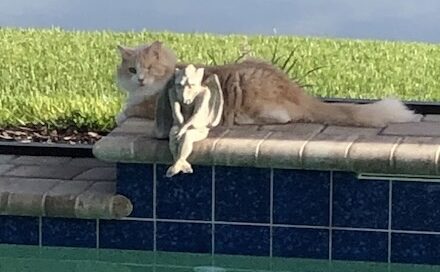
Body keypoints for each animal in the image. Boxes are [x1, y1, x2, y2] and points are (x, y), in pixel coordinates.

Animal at [115, 40, 422, 137]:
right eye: (132, 70)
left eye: (149, 68)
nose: (140, 79)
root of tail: (299, 92)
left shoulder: (147, 104)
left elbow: (128, 110)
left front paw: (121, 113)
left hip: (247, 87)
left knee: (284, 118)